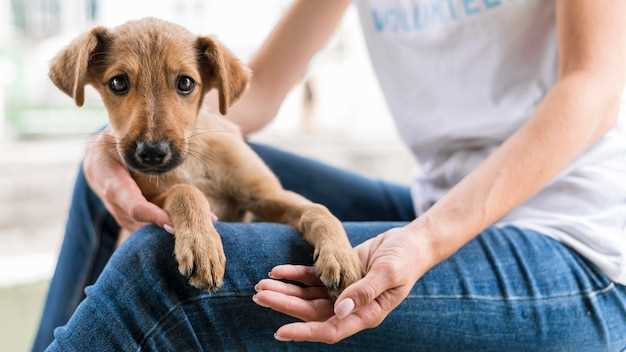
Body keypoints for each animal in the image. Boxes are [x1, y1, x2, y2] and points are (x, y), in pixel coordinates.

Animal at [47, 17, 360, 296]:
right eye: (118, 83)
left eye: (185, 83)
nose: (152, 153)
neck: (192, 161)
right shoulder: (149, 200)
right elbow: (185, 191)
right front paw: (202, 245)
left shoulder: (267, 195)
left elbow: (318, 210)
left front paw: (341, 255)